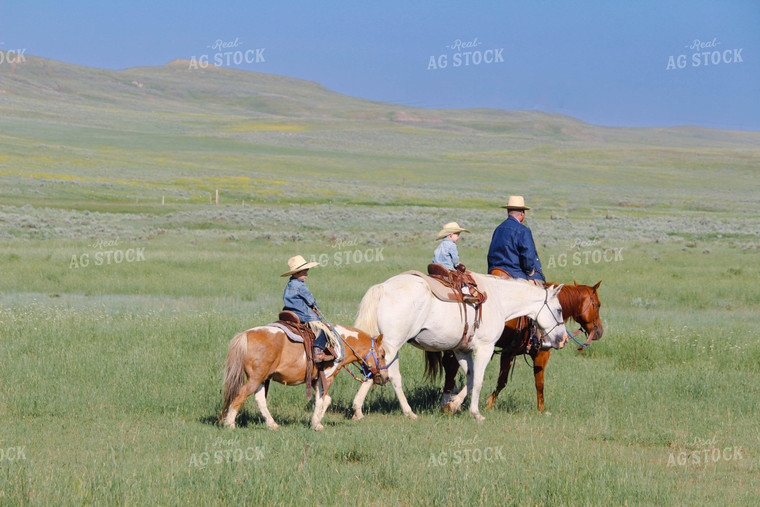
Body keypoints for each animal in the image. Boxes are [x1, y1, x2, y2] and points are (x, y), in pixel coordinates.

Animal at [220, 326, 386, 428]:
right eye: (383, 354)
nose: (384, 377)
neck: (339, 344)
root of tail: (246, 335)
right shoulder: (326, 378)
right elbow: (322, 399)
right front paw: (316, 424)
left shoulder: (315, 380)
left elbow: (324, 399)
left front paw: (316, 421)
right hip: (255, 379)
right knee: (240, 397)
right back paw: (230, 424)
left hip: (261, 379)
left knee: (259, 400)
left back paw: (272, 424)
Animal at [354, 272, 568, 422]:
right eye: (559, 310)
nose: (563, 339)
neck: (498, 300)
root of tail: (383, 287)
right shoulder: (485, 348)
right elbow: (479, 380)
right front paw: (476, 413)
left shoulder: (462, 350)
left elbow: (471, 378)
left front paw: (452, 405)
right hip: (392, 346)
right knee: (388, 374)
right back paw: (398, 411)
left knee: (381, 373)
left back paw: (365, 410)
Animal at [430, 280, 604, 414]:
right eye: (598, 305)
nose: (599, 332)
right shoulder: (534, 353)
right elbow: (526, 382)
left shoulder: (511, 354)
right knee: (451, 368)